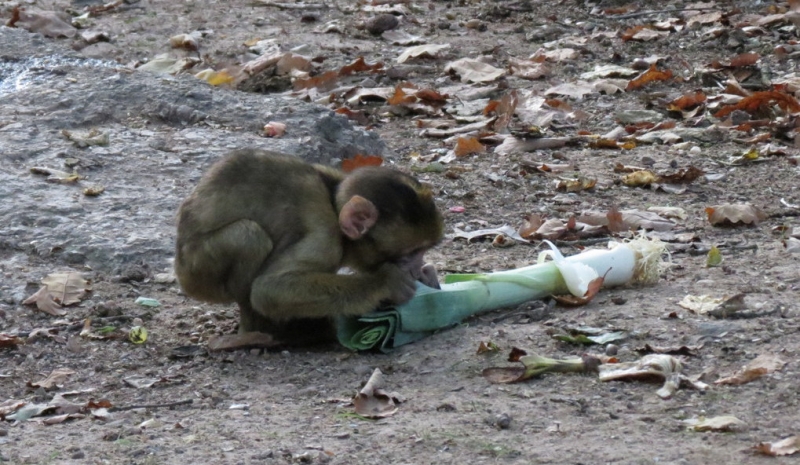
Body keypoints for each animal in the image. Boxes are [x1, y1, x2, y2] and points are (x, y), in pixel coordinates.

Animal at [174, 149, 444, 344]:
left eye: (423, 252)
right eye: (411, 253)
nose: (416, 267)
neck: (335, 208)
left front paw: (428, 278)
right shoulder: (324, 239)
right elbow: (268, 289)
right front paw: (386, 283)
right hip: (197, 270)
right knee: (248, 236)